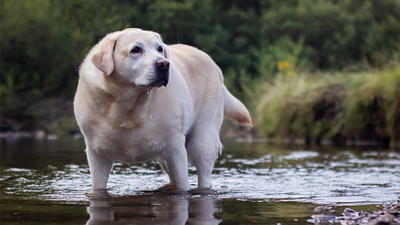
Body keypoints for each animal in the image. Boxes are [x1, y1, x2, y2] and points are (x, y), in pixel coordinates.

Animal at [73, 27, 252, 191]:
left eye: (159, 48)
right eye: (135, 49)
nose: (164, 64)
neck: (128, 109)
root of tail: (213, 63)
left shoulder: (176, 149)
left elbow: (183, 186)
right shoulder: (97, 155)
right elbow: (98, 186)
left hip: (202, 141)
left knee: (204, 176)